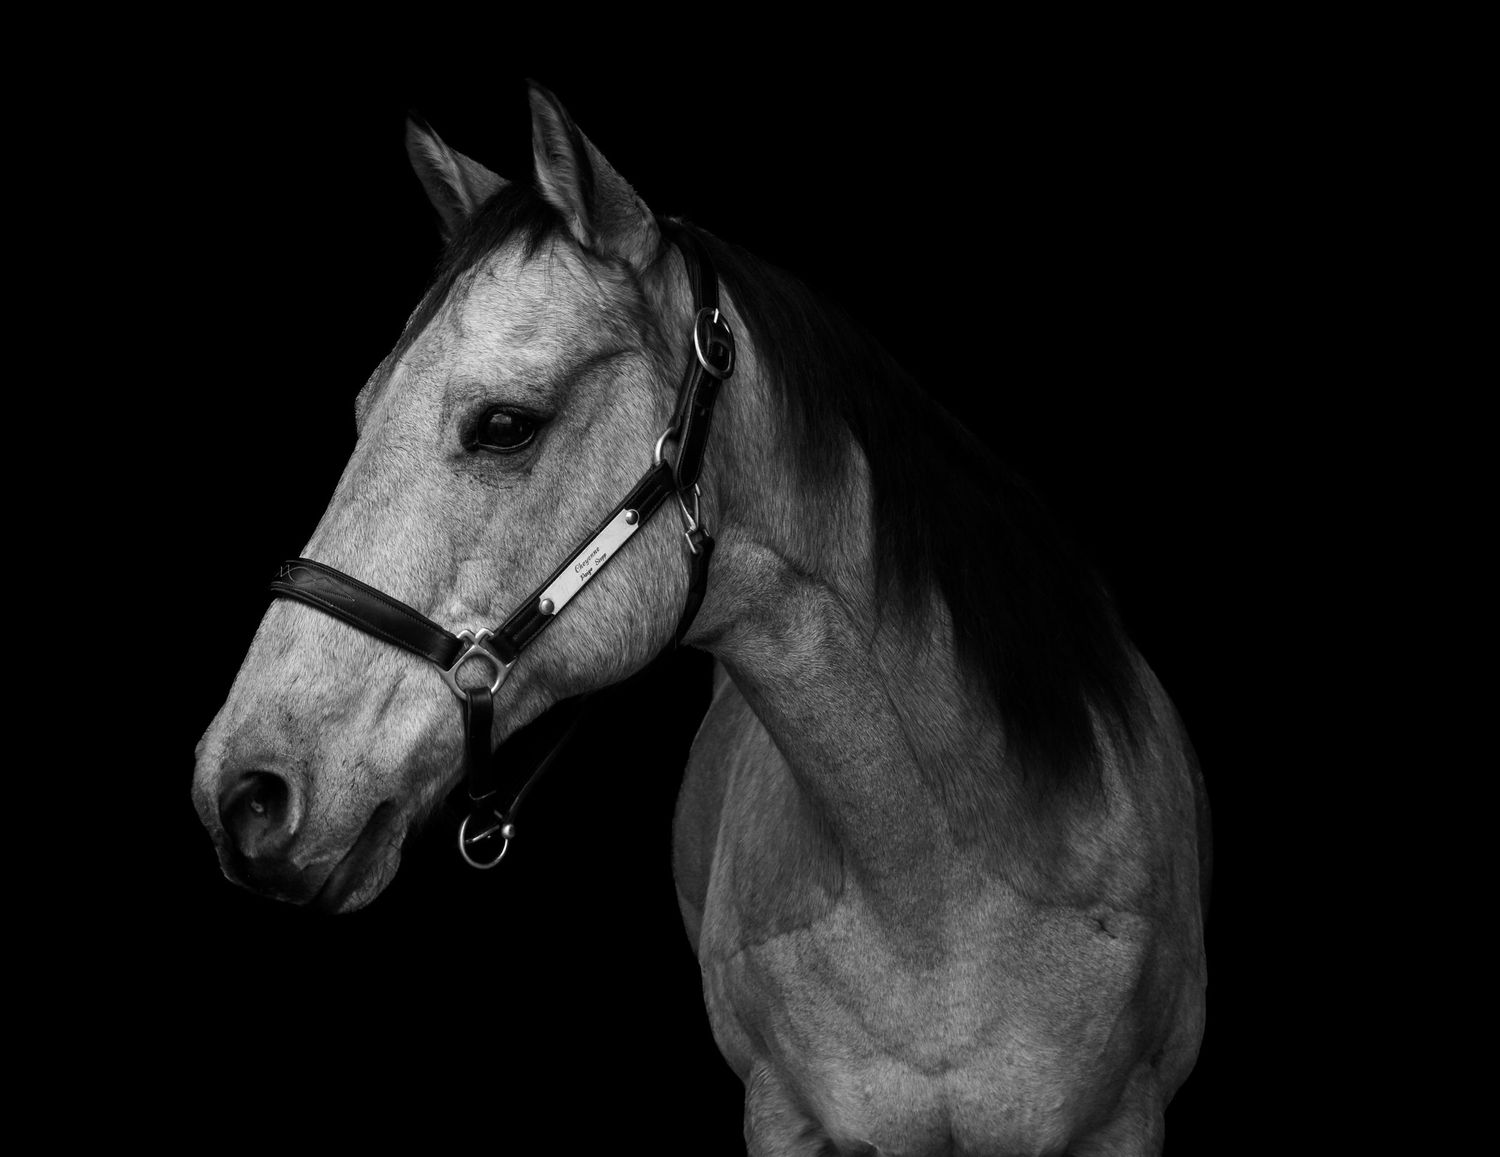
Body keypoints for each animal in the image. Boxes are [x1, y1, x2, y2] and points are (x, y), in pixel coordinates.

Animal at [192, 83, 1209, 1156]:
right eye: (362, 408)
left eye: (505, 424)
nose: (243, 792)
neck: (941, 887)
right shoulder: (784, 1116)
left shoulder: (1124, 1118)